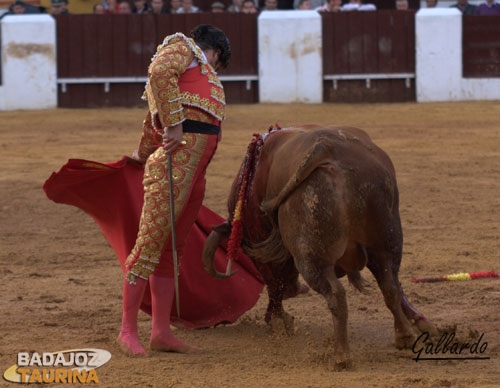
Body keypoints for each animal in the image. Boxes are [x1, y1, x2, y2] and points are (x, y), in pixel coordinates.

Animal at [202, 125, 438, 370]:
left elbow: (274, 282)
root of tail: (326, 149)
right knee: (389, 284)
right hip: (386, 240)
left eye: (252, 260)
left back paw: (341, 355)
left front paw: (278, 320)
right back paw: (405, 336)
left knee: (336, 293)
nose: (294, 289)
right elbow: (396, 288)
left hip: (311, 256)